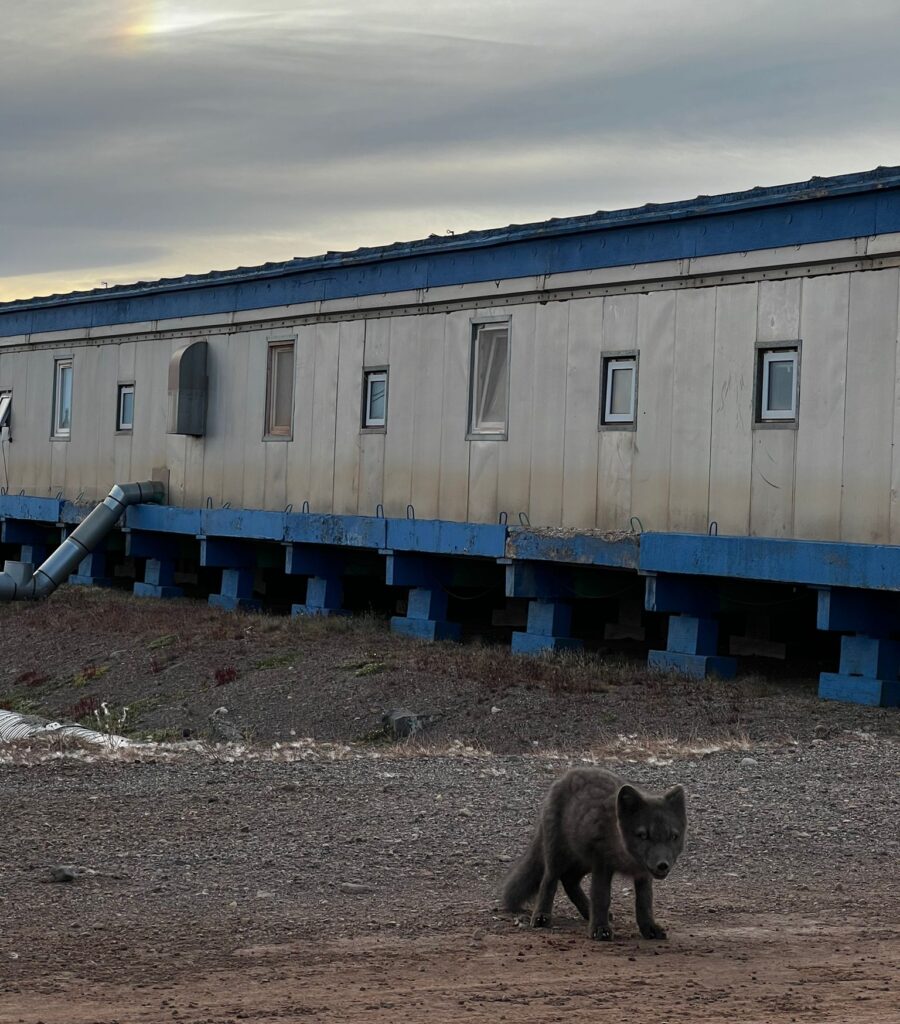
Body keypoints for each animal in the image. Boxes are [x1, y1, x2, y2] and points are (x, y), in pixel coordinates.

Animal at [503, 770, 688, 942]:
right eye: (643, 835)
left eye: (673, 836)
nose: (662, 865)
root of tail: (566, 775)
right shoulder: (602, 864)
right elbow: (601, 897)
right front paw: (600, 930)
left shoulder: (642, 873)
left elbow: (644, 902)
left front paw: (649, 928)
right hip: (558, 854)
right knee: (549, 880)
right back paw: (542, 916)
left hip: (582, 860)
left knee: (569, 881)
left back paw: (587, 912)